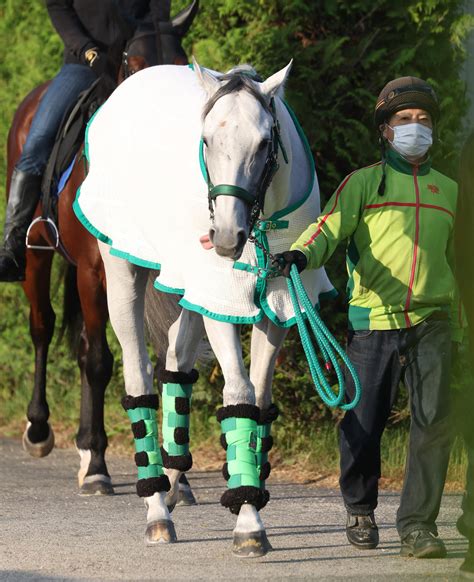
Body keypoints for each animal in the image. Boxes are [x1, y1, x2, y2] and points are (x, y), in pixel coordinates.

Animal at [5, 1, 198, 498]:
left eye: (180, 62)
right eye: (134, 63)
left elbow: (165, 362)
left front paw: (177, 474)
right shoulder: (95, 271)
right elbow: (98, 361)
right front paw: (96, 464)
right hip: (40, 256)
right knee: (44, 328)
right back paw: (41, 431)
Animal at [75, 61, 334, 560]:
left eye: (264, 142)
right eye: (208, 140)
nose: (227, 239)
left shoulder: (278, 301)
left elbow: (260, 398)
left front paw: (247, 493)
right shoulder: (220, 298)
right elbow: (239, 392)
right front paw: (249, 523)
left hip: (187, 290)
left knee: (176, 365)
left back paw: (176, 482)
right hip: (120, 270)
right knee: (138, 378)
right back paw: (157, 509)